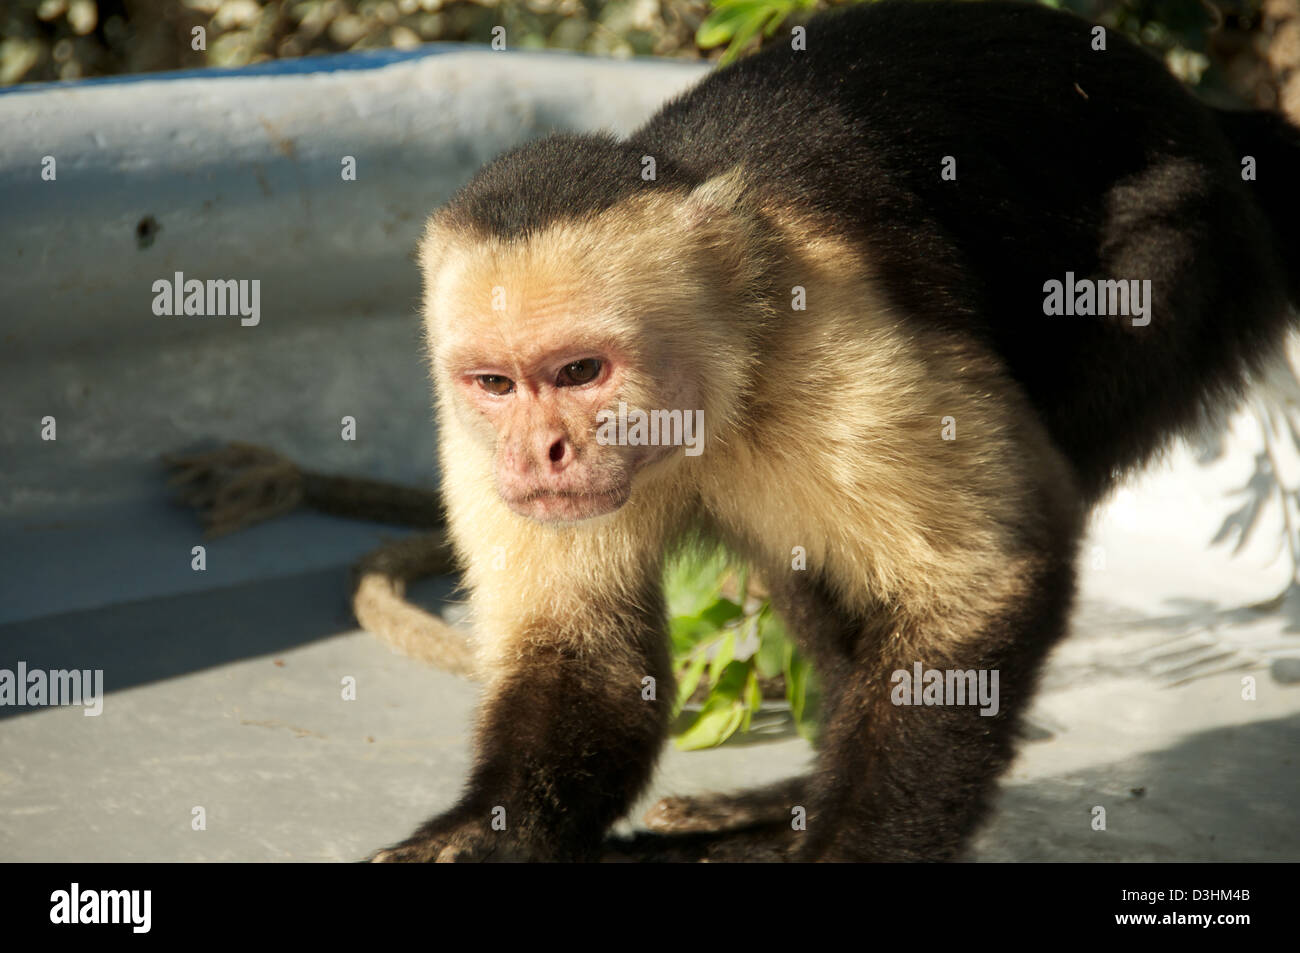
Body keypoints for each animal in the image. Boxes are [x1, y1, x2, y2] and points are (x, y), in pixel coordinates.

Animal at [167, 0, 1300, 861]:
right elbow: (584, 657)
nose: (542, 452)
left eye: (581, 371)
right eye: (496, 383)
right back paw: (780, 802)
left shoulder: (843, 345)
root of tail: (1200, 113)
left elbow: (982, 585)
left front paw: (846, 854)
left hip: (1181, 255)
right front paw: (477, 834)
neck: (709, 388)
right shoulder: (467, 433)